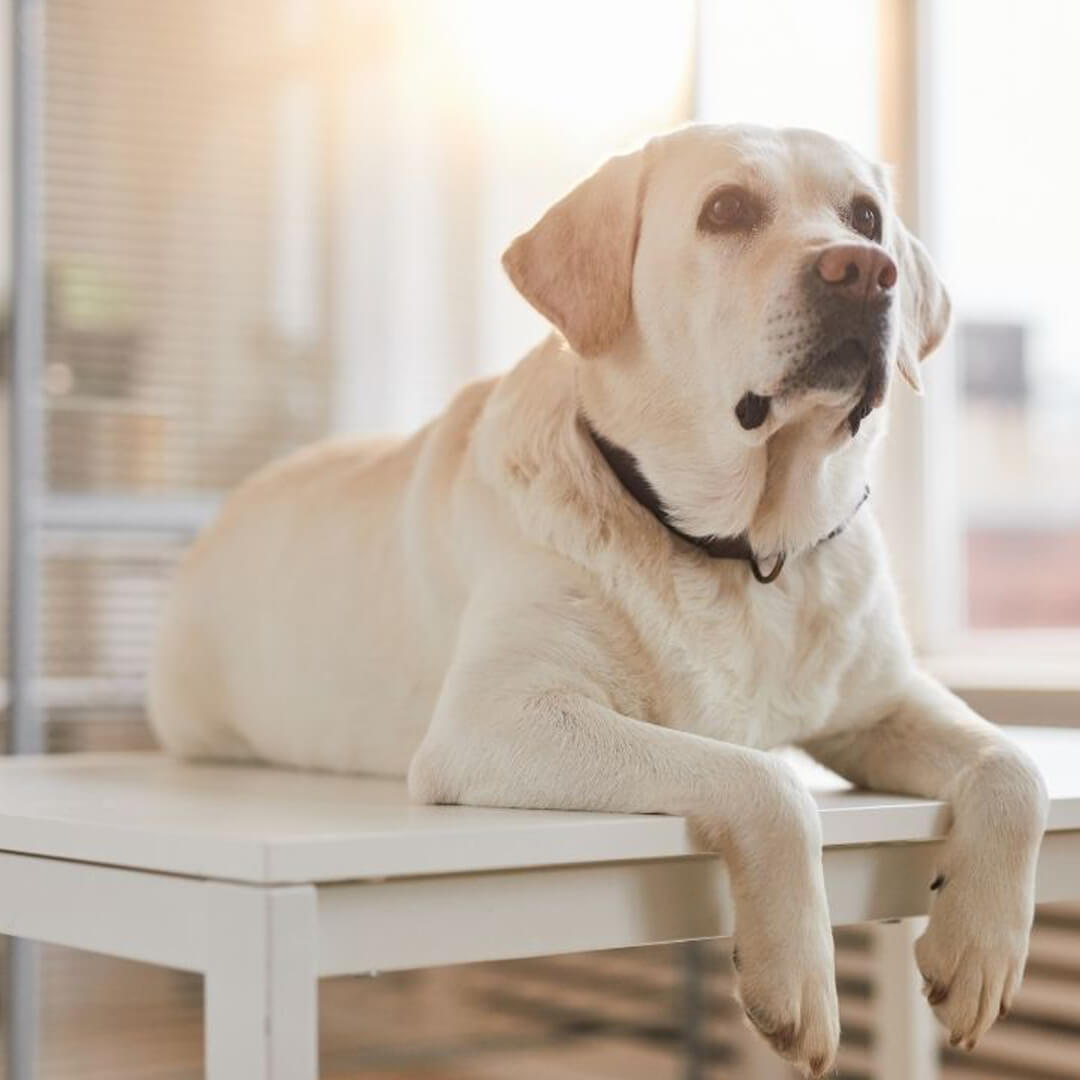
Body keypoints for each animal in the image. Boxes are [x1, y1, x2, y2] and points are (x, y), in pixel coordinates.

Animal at [150, 124, 1045, 1071]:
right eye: (727, 208)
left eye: (867, 217)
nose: (865, 270)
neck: (739, 547)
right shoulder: (498, 722)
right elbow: (763, 776)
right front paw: (798, 976)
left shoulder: (882, 701)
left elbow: (1013, 766)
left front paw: (981, 952)